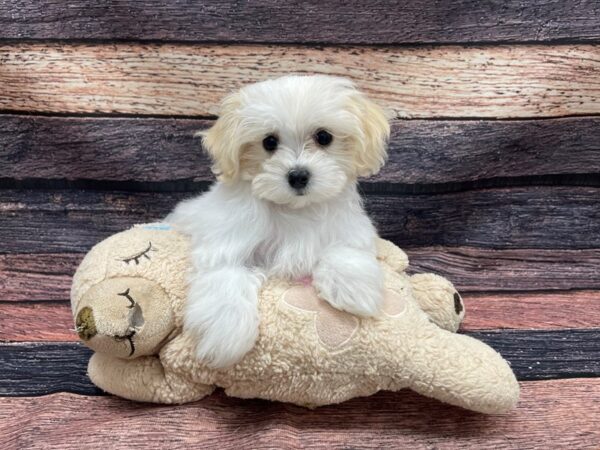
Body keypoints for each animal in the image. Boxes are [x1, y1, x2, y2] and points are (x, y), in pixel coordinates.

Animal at [165, 74, 390, 370]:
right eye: (269, 142)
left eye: (324, 137)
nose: (298, 176)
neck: (294, 210)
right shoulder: (224, 245)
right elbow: (226, 277)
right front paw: (226, 333)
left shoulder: (349, 227)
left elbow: (344, 248)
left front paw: (354, 288)